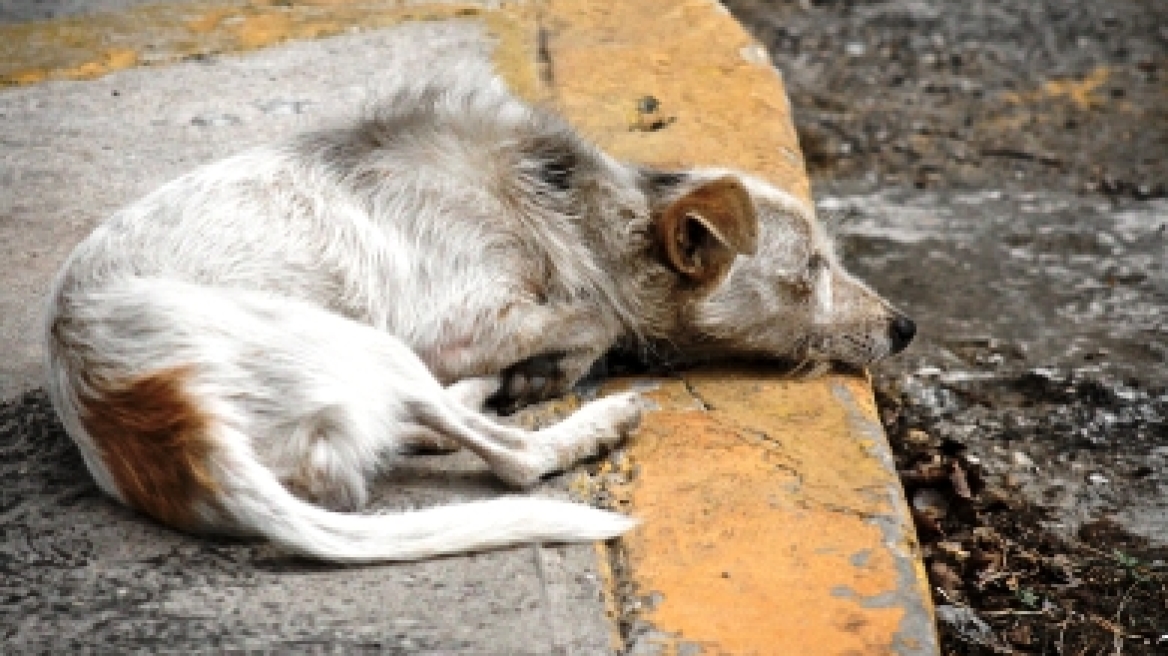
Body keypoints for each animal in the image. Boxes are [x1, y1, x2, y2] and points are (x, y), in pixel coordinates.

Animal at [45, 66, 911, 560]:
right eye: (810, 271)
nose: (907, 328)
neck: (575, 209)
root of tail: (169, 423)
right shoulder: (463, 323)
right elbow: (592, 317)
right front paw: (559, 364)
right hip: (372, 344)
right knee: (510, 459)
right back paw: (576, 420)